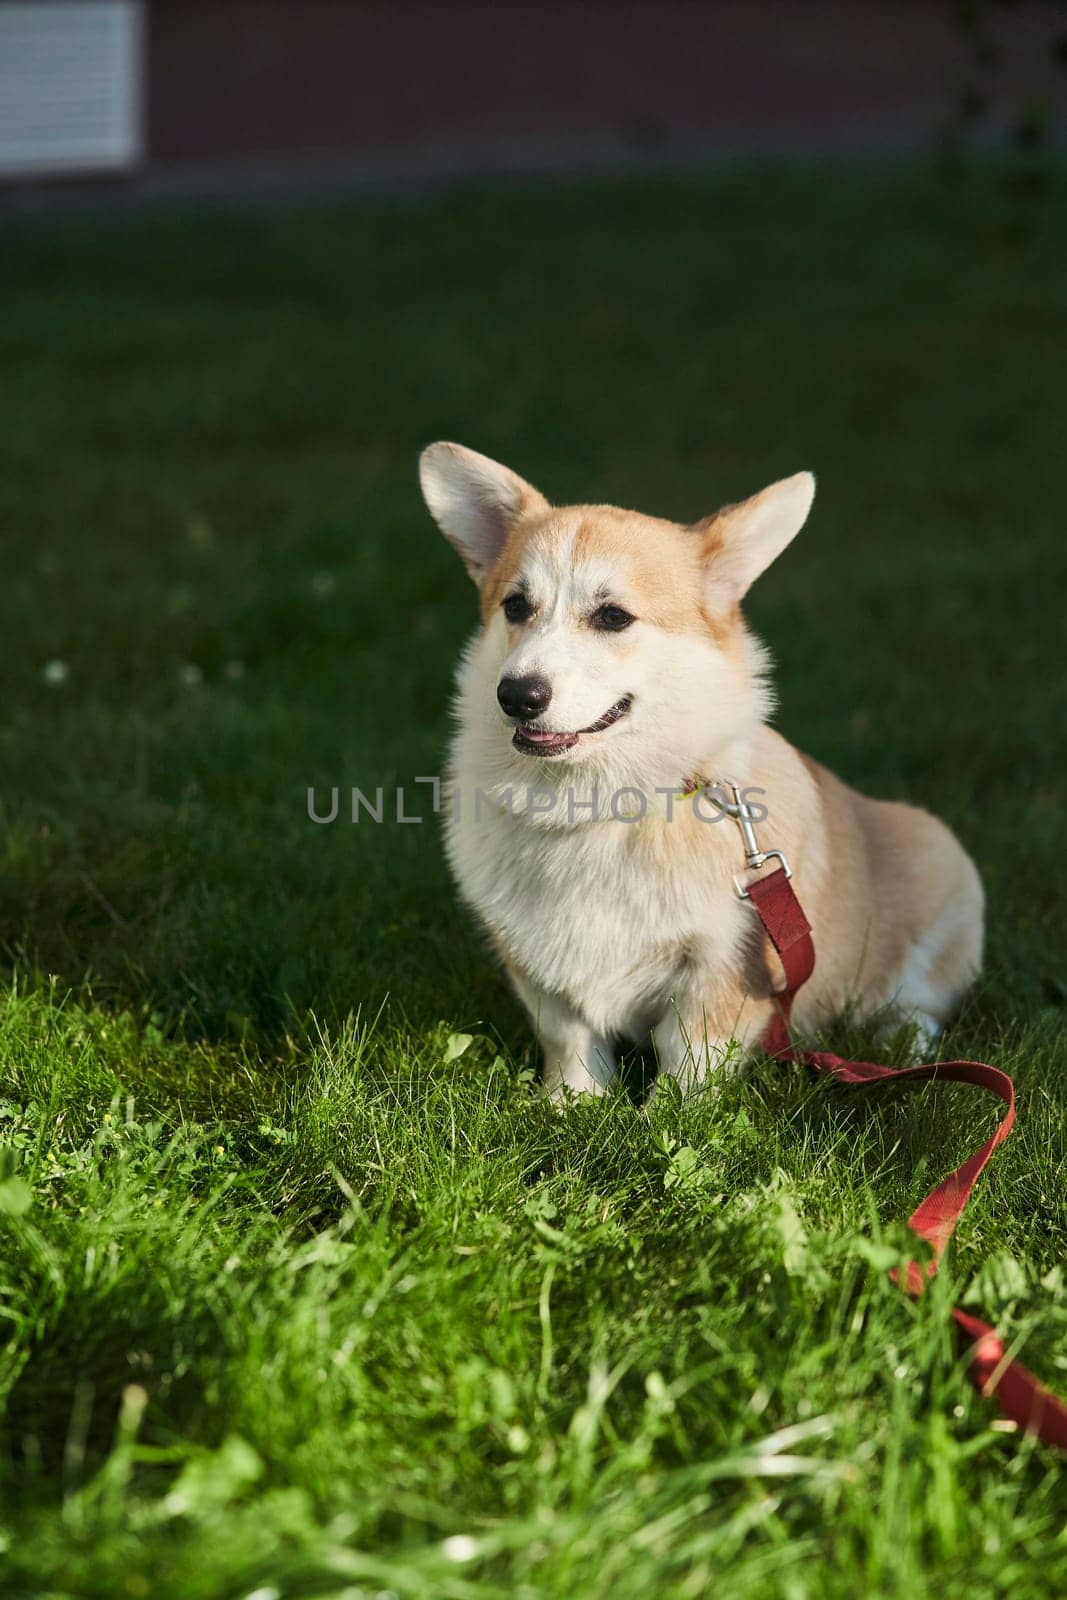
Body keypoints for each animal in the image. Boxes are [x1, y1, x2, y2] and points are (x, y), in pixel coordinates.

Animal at [415, 448, 985, 1100]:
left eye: (612, 617)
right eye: (515, 606)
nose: (516, 695)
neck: (600, 807)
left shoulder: (727, 968)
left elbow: (687, 1059)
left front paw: (661, 1118)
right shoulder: (541, 972)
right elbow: (571, 1041)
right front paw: (568, 1105)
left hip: (942, 884)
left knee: (916, 1009)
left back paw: (904, 1049)